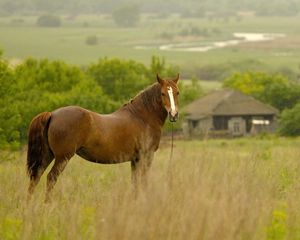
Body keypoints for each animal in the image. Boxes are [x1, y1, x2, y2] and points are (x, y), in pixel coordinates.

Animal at [27, 73, 179, 201]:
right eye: (163, 93)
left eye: (177, 92)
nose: (174, 114)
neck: (142, 117)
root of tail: (52, 114)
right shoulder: (146, 156)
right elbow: (143, 181)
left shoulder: (135, 159)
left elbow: (135, 182)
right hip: (62, 157)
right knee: (51, 178)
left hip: (48, 155)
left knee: (36, 177)